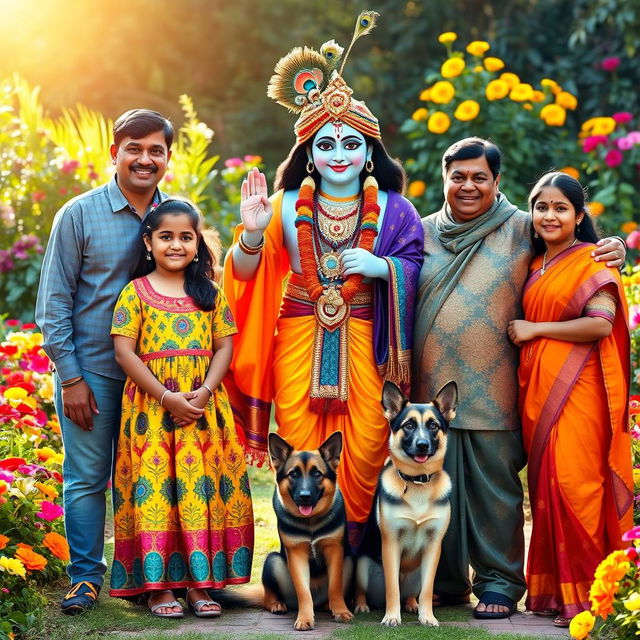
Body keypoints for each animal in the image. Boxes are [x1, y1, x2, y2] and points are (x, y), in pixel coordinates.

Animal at [264, 430, 356, 632]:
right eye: (293, 474)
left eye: (316, 473)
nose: (304, 496)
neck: (310, 522)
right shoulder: (296, 555)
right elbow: (303, 591)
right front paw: (305, 618)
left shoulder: (335, 551)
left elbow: (335, 586)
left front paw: (341, 611)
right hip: (272, 561)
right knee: (268, 594)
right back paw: (276, 604)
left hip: (349, 560)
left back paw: (329, 605)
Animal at [352, 380, 458, 624]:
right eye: (409, 425)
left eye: (433, 426)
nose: (422, 445)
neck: (418, 481)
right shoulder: (390, 543)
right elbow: (392, 588)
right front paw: (392, 617)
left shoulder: (433, 546)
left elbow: (427, 590)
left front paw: (427, 616)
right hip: (362, 564)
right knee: (362, 589)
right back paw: (362, 605)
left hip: (417, 572)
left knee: (410, 593)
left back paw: (411, 604)